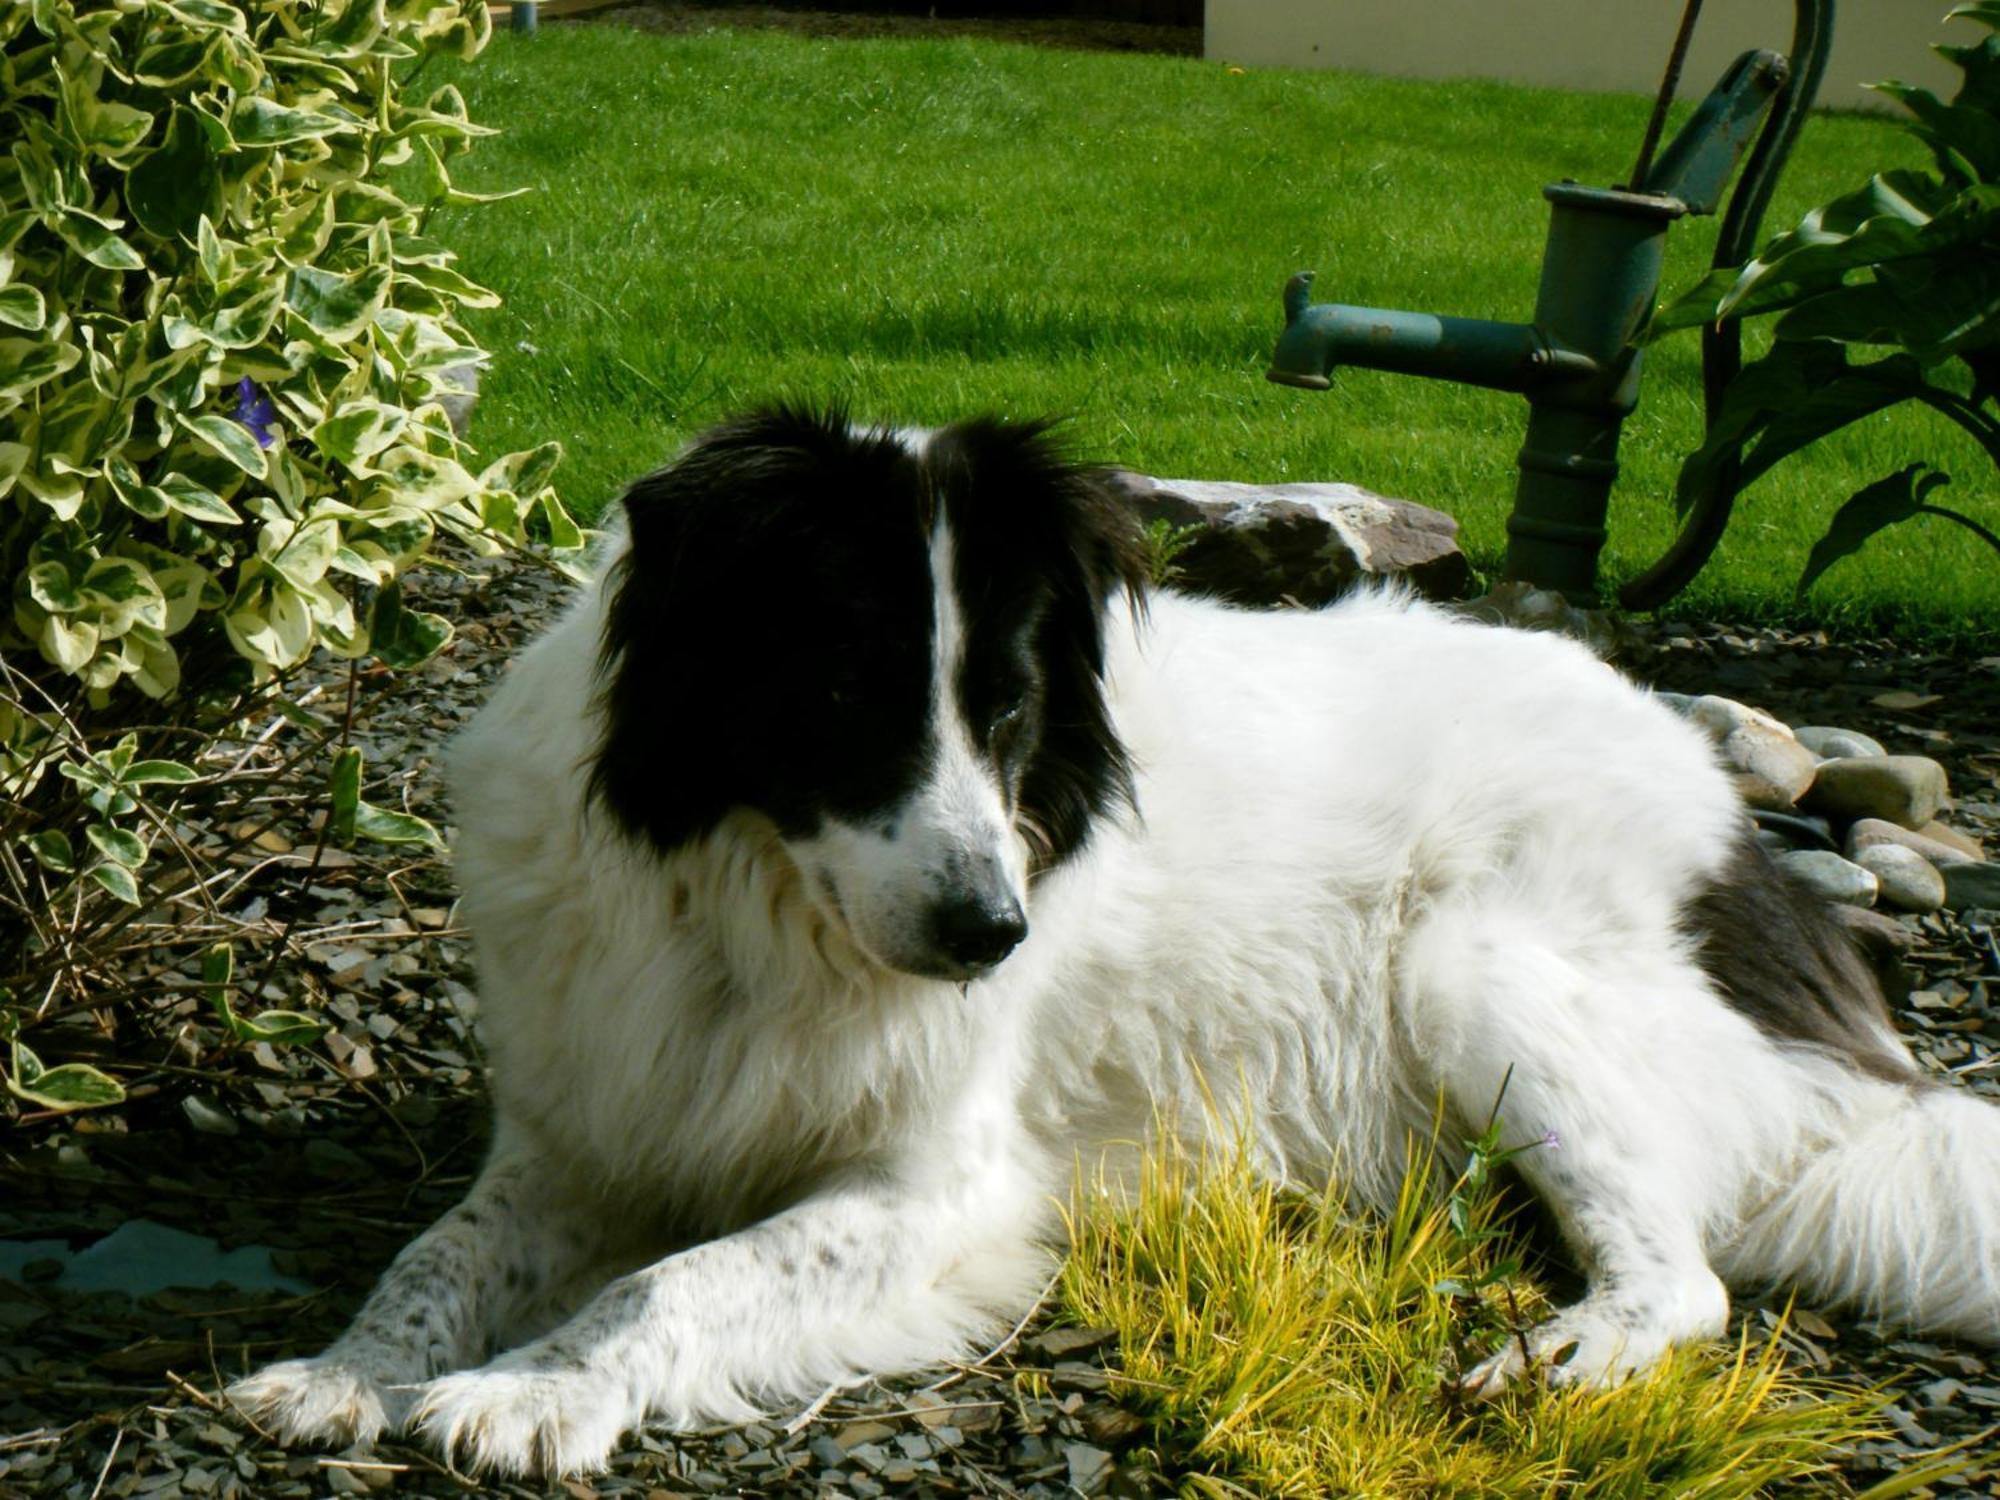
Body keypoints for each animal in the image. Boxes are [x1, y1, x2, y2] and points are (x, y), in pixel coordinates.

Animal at [234, 408, 2000, 1480]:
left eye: (1010, 711)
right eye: (841, 694)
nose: (990, 935)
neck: (751, 902)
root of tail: (1744, 840)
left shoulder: (938, 1186)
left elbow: (675, 1284)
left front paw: (534, 1389)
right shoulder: (592, 1124)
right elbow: (440, 1253)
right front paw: (345, 1366)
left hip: (1468, 971)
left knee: (1686, 1283)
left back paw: (1554, 1359)